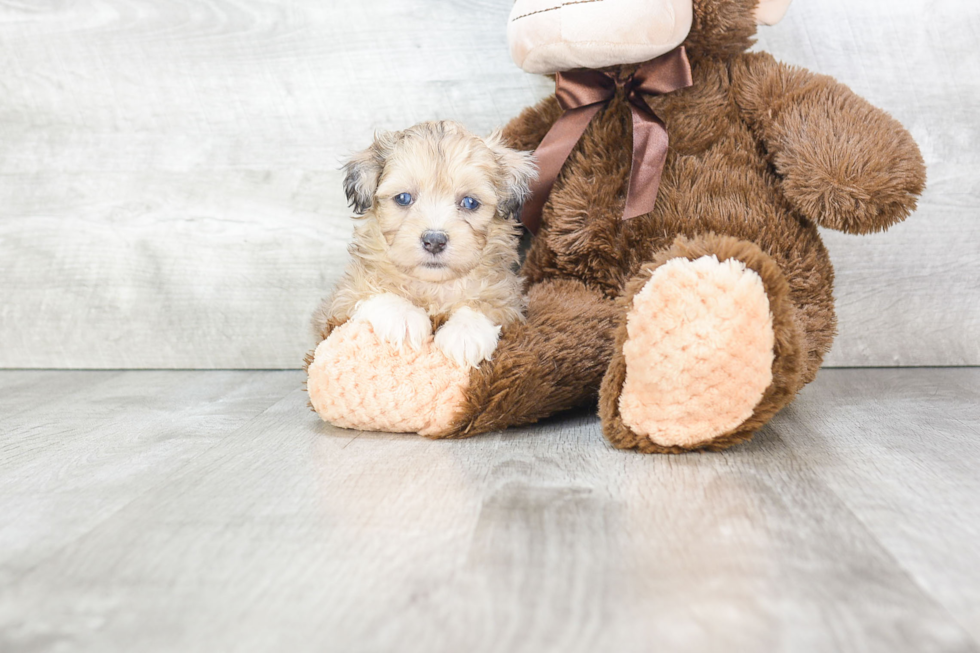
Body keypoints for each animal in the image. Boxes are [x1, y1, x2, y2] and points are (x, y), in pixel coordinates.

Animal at [314, 120, 536, 370]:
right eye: (403, 198)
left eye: (470, 202)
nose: (435, 241)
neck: (433, 286)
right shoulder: (339, 301)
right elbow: (373, 290)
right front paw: (403, 317)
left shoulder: (510, 299)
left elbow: (489, 302)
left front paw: (466, 333)